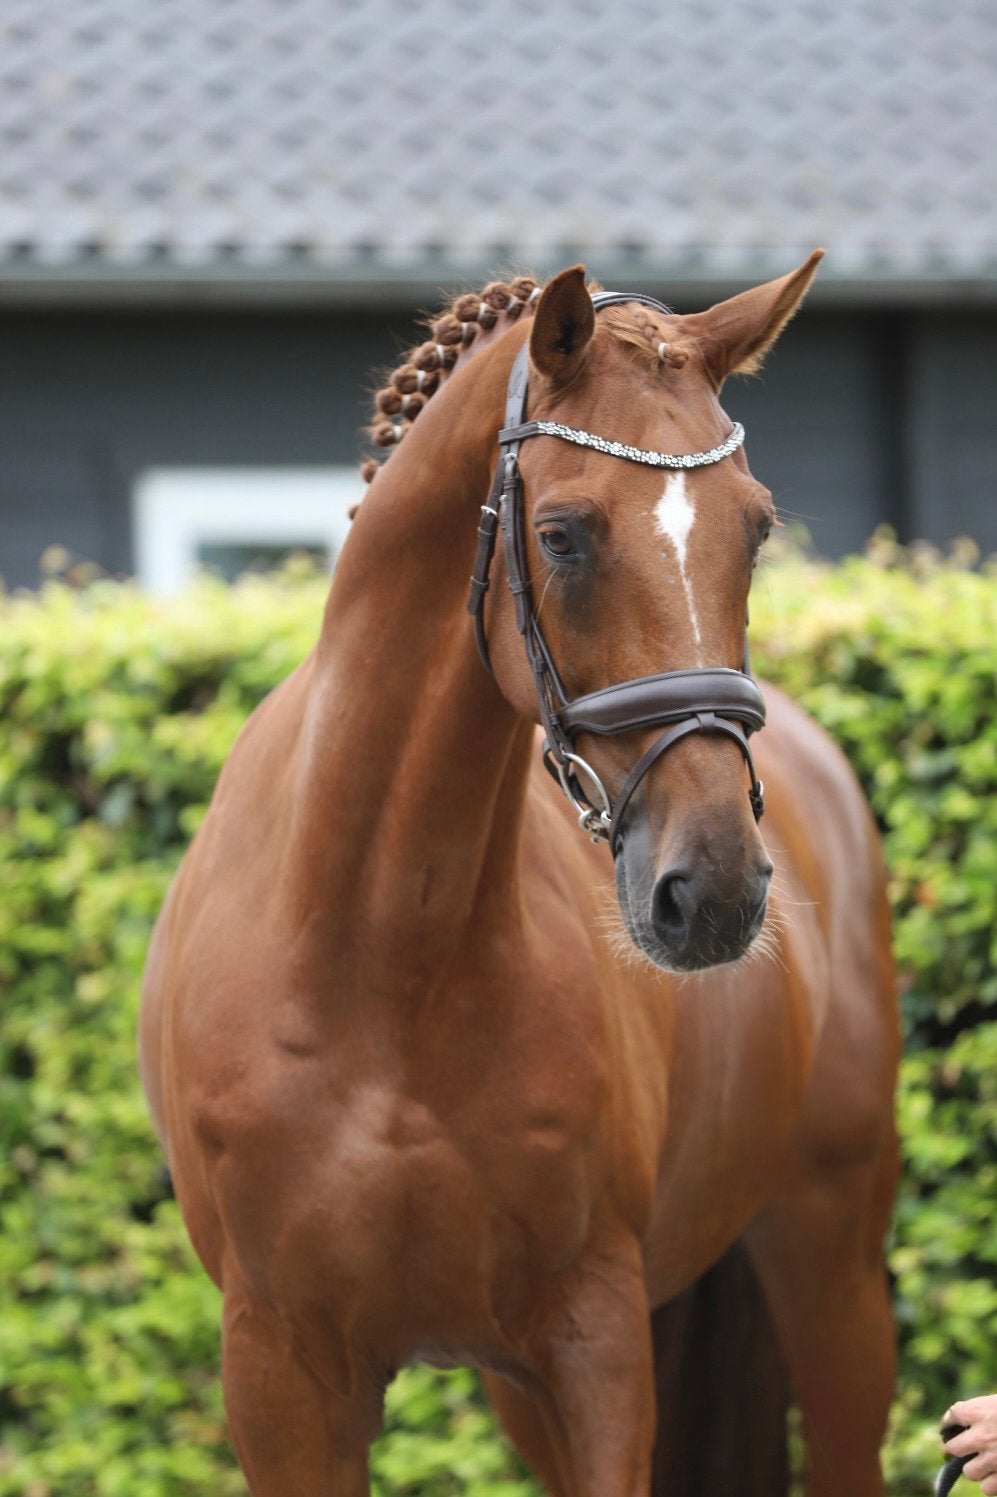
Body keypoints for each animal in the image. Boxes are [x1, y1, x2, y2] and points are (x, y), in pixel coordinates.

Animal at [139, 253, 900, 1497]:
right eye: (561, 534)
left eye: (755, 531)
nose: (714, 891)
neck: (382, 955)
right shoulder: (282, 1373)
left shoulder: (595, 1343)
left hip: (831, 1264)